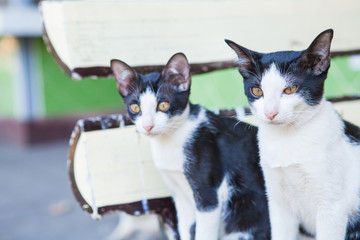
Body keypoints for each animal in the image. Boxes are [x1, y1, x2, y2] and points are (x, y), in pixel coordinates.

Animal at [109, 53, 270, 239]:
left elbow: (204, 233)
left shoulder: (208, 196)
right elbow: (185, 228)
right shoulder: (180, 196)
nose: (148, 126)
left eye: (163, 105)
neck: (170, 141)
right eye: (135, 107)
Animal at [226, 28, 360, 240]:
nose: (270, 113)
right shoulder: (278, 203)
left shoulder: (333, 208)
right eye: (257, 91)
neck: (288, 139)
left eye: (290, 89)